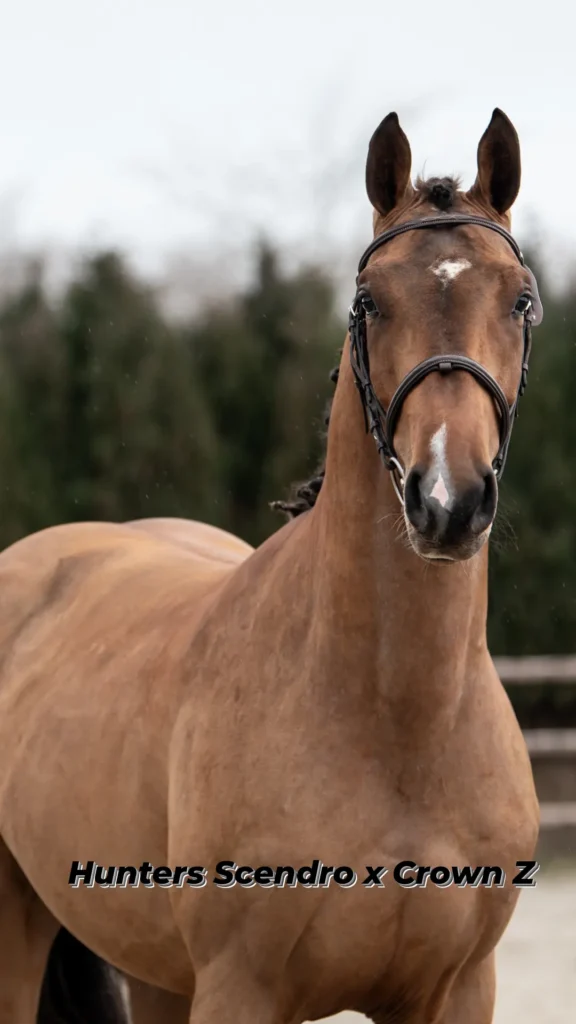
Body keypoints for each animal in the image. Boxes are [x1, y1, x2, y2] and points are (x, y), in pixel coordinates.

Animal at [0, 107, 540, 1024]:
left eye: (521, 299)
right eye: (368, 301)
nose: (448, 498)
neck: (399, 725)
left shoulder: (458, 990)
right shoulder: (240, 988)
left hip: (157, 971)